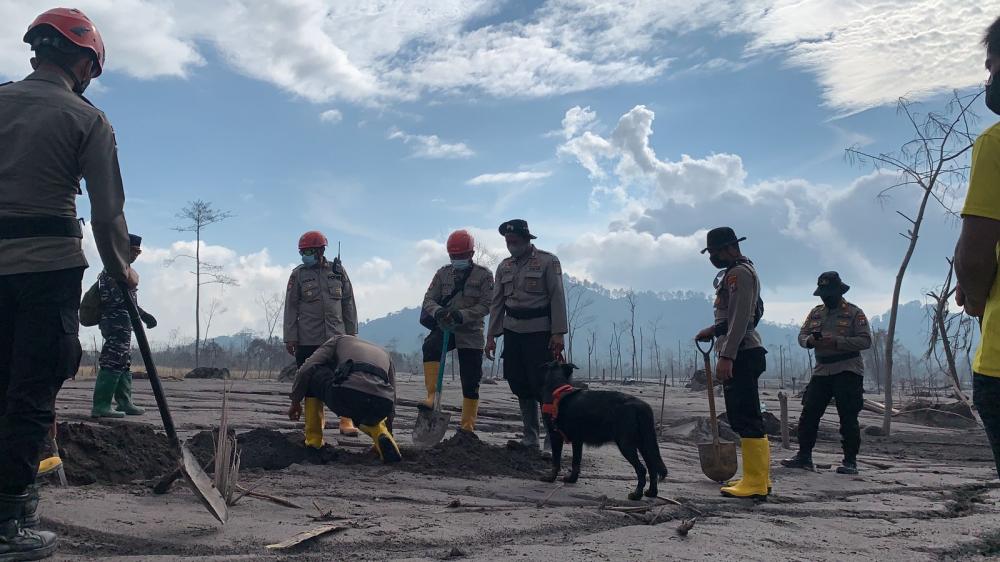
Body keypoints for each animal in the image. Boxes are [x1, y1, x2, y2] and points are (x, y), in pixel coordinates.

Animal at [536, 364, 668, 498]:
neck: (558, 388)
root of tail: (641, 406)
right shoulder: (577, 441)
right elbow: (576, 462)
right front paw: (572, 479)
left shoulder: (555, 435)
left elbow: (556, 461)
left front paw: (550, 478)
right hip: (644, 444)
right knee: (652, 467)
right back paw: (652, 492)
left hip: (626, 444)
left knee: (642, 469)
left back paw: (636, 494)